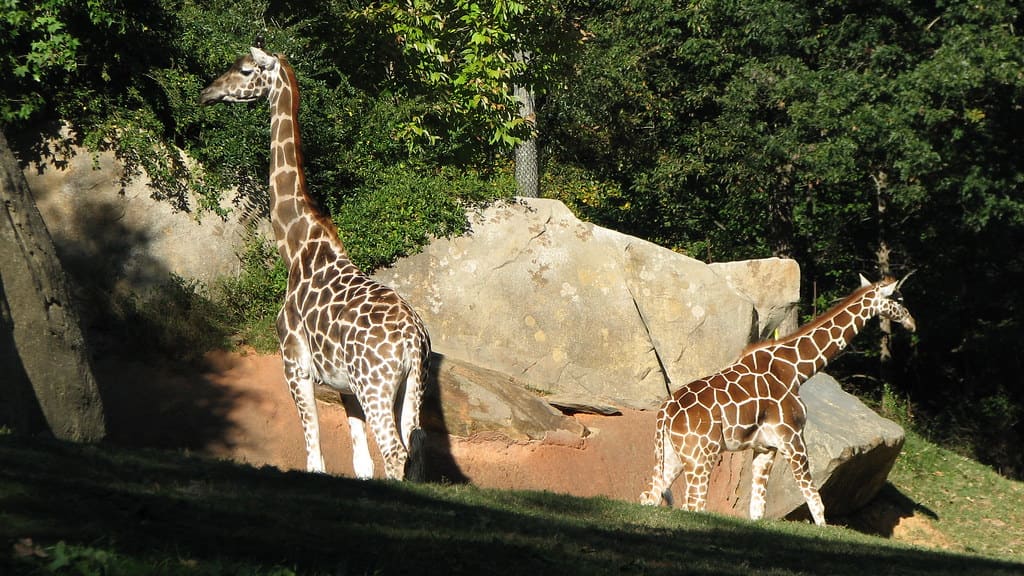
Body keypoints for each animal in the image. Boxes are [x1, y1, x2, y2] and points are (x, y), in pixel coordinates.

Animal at [200, 47, 431, 481]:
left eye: (245, 70)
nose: (208, 92)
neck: (295, 246)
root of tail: (412, 340)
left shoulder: (294, 361)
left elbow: (315, 458)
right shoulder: (344, 387)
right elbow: (360, 463)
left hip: (375, 384)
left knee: (395, 451)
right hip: (410, 385)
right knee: (415, 446)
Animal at [639, 275, 916, 525]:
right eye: (898, 299)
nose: (912, 323)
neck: (795, 370)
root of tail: (665, 411)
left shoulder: (765, 447)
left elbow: (757, 509)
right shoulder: (792, 438)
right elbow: (815, 500)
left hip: (673, 453)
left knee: (650, 495)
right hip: (701, 455)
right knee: (692, 504)